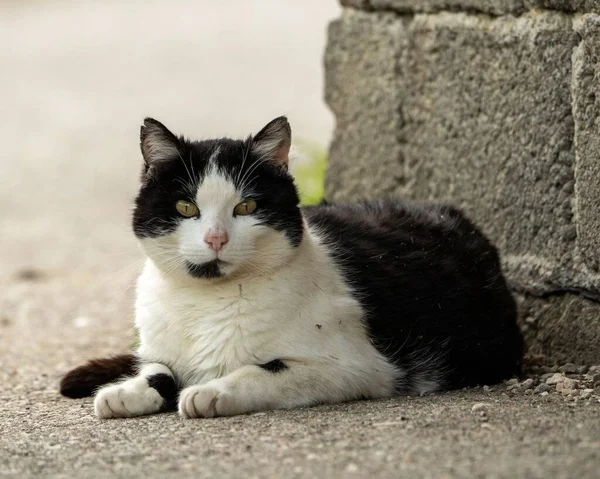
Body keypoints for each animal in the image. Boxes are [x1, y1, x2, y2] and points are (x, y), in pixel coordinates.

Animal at [58, 117, 524, 420]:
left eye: (246, 207)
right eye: (186, 207)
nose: (215, 239)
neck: (206, 302)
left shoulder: (359, 367)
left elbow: (266, 371)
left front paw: (209, 391)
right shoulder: (161, 349)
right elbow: (157, 369)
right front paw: (125, 393)